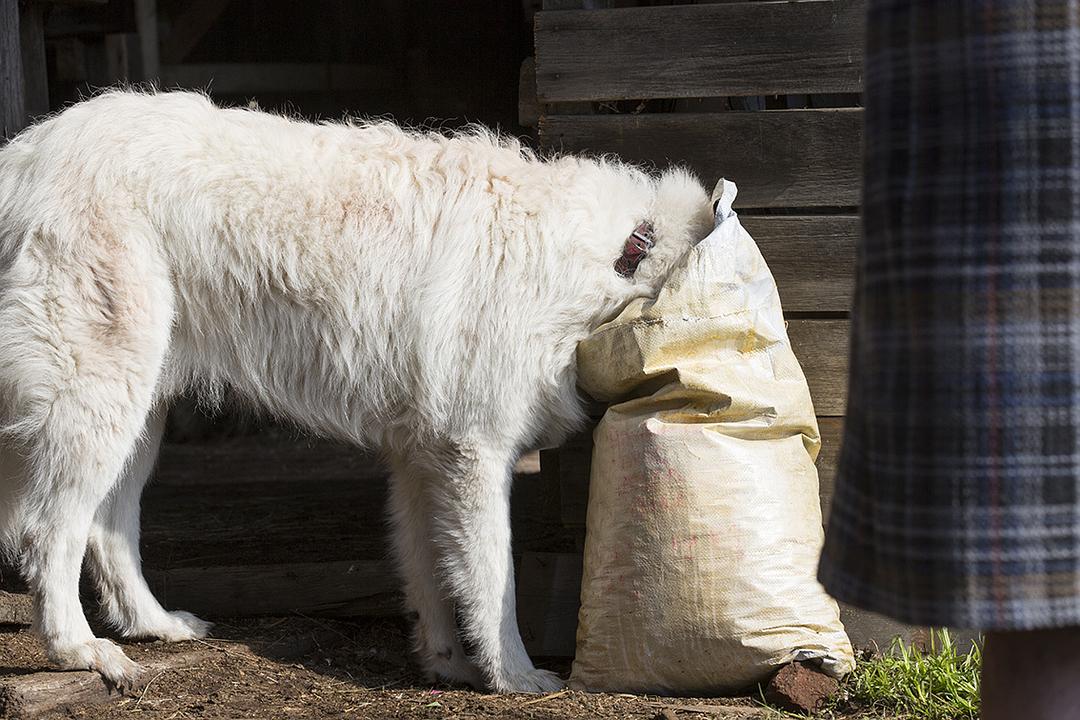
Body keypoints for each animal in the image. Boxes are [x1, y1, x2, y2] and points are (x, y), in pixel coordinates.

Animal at [0, 90, 712, 690]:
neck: (614, 258)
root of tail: (25, 156)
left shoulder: (423, 456)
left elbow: (430, 570)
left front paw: (446, 663)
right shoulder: (477, 451)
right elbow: (492, 577)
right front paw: (514, 677)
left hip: (137, 409)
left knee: (106, 528)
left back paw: (156, 627)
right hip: (99, 394)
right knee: (48, 530)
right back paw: (79, 651)